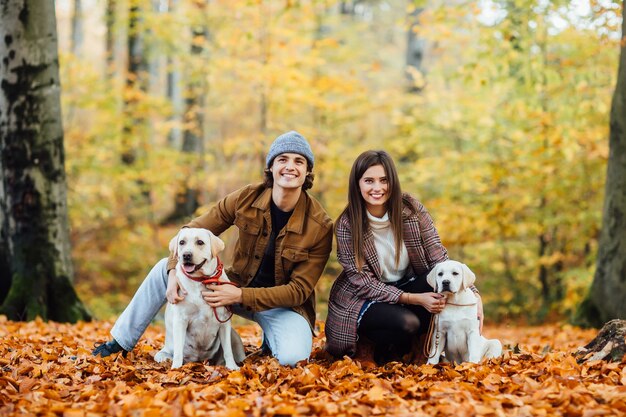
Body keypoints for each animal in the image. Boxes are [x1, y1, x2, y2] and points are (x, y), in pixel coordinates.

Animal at [152, 228, 245, 370]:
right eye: (182, 242)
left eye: (200, 242)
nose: (186, 255)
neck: (201, 280)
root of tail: (199, 360)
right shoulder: (180, 320)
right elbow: (178, 351)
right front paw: (176, 369)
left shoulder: (224, 321)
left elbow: (228, 350)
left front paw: (232, 367)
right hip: (163, 352)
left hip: (235, 338)